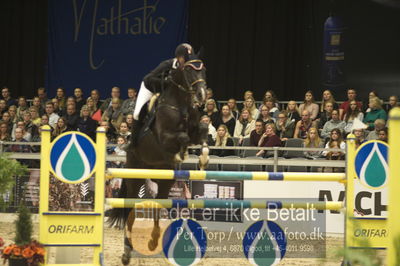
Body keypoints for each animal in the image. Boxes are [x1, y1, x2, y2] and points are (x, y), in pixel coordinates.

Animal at [108, 53, 211, 264]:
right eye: (189, 71)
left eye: (204, 70)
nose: (202, 95)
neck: (180, 103)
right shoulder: (164, 138)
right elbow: (183, 137)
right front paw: (182, 153)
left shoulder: (196, 131)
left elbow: (202, 130)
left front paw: (203, 159)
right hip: (135, 179)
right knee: (130, 212)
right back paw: (127, 252)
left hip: (164, 180)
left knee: (158, 205)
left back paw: (154, 240)